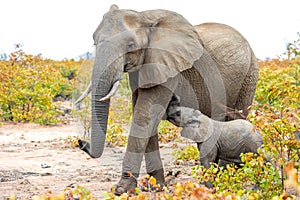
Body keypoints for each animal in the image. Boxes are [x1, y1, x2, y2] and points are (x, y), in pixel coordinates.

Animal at [74, 4, 258, 195]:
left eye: (130, 45)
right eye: (94, 42)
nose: (80, 142)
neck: (144, 17)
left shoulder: (168, 66)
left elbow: (145, 114)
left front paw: (122, 189)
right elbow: (144, 114)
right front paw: (157, 186)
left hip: (249, 76)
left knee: (236, 117)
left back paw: (227, 176)